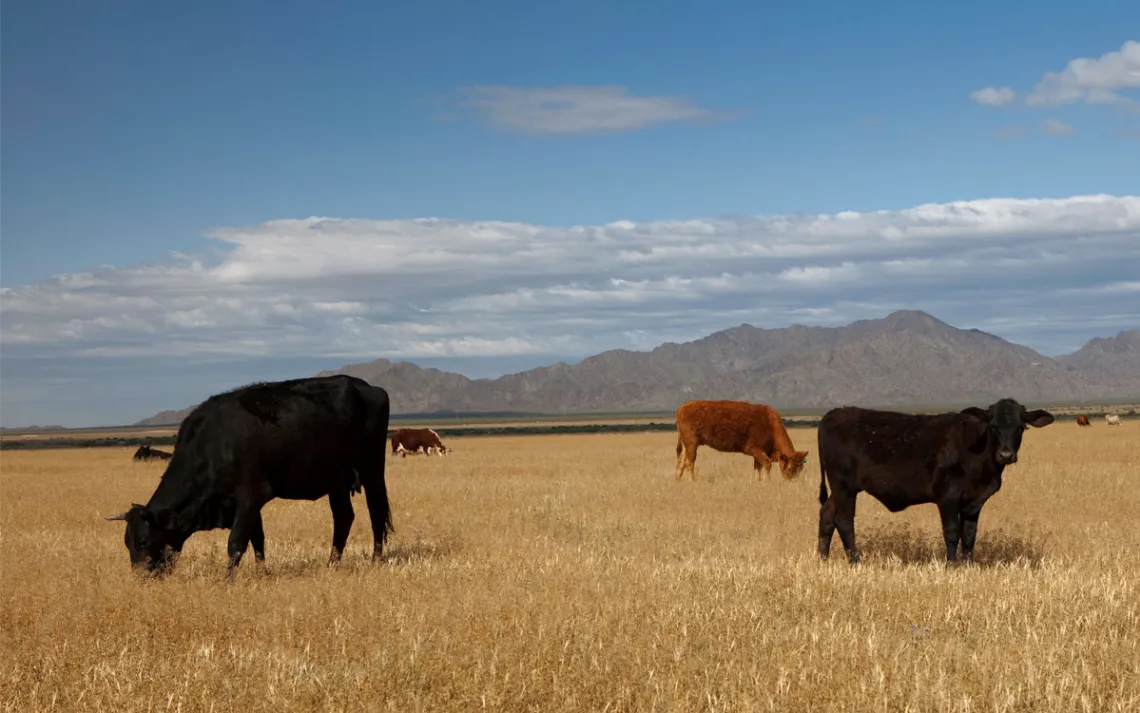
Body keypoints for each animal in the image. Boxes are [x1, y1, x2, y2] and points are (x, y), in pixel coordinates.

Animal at [105, 375, 393, 580]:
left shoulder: (251, 496)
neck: (214, 443)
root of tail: (369, 388)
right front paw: (261, 573)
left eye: (143, 540)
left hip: (371, 470)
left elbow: (236, 542)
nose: (141, 577)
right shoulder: (245, 505)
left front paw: (227, 580)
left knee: (376, 512)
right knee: (343, 517)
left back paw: (376, 560)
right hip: (337, 480)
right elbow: (258, 539)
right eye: (127, 542)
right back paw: (332, 563)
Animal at [674, 399, 809, 482]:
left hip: (687, 445)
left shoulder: (758, 454)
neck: (770, 424)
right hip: (692, 443)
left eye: (801, 468)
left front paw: (758, 481)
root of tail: (683, 406)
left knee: (682, 460)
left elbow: (758, 467)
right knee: (690, 462)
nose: (792, 481)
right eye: (791, 468)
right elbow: (767, 464)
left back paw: (678, 480)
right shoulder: (755, 449)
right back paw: (693, 481)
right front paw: (767, 482)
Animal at [816, 398, 1054, 565]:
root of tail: (835, 413)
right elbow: (951, 532)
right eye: (993, 427)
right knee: (844, 521)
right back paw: (855, 562)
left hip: (840, 489)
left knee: (827, 514)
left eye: (1020, 427)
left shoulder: (975, 500)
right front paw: (951, 565)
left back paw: (823, 559)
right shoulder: (947, 496)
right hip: (844, 486)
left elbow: (969, 534)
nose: (1006, 454)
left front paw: (969, 565)